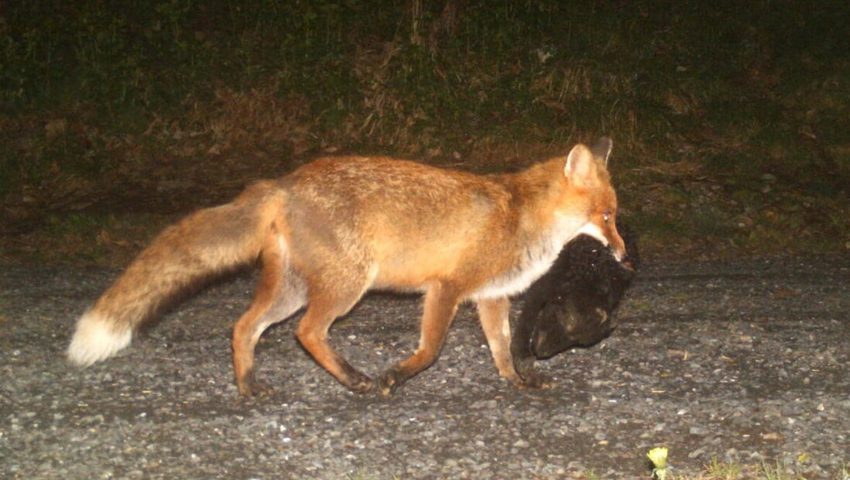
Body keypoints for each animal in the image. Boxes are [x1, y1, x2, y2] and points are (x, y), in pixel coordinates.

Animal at [68, 137, 624, 396]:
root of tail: (284, 182)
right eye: (608, 216)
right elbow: (430, 351)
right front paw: (395, 377)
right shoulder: (445, 288)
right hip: (346, 286)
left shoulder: (490, 296)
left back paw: (248, 386)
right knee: (307, 333)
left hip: (293, 289)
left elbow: (504, 351)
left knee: (244, 327)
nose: (623, 254)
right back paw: (356, 380)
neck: (524, 217)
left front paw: (519, 383)